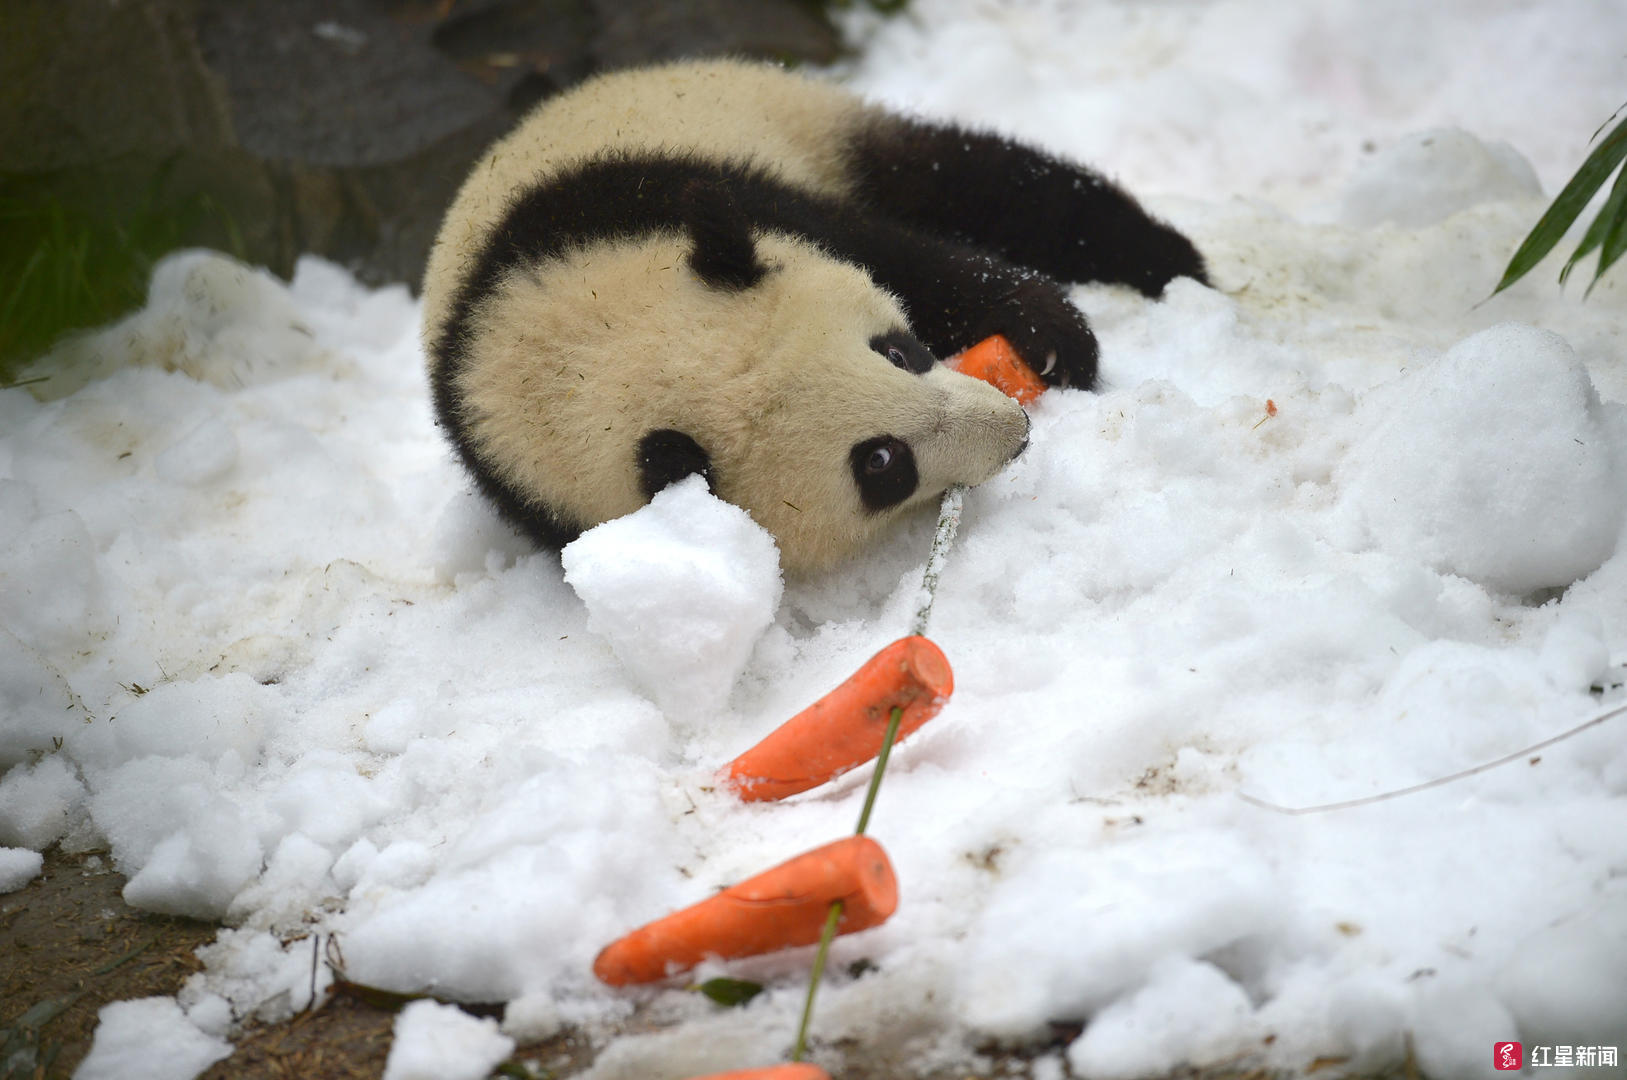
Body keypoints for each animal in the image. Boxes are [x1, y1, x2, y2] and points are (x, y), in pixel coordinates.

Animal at [423, 58, 1210, 572]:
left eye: (895, 351)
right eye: (881, 464)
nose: (1013, 430)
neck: (573, 350)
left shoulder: (680, 198)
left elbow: (898, 256)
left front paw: (1049, 335)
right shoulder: (536, 495)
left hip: (795, 120)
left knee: (983, 180)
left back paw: (1169, 261)